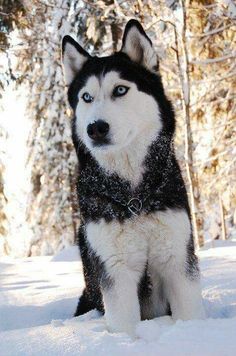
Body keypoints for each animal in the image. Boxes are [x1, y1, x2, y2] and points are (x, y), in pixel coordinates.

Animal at [61, 20, 205, 336]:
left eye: (120, 89)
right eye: (86, 97)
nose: (95, 128)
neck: (133, 198)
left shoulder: (177, 260)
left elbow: (189, 315)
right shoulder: (116, 270)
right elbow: (123, 324)